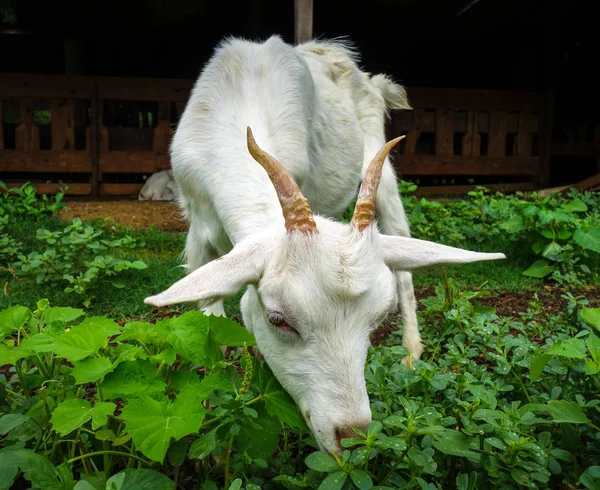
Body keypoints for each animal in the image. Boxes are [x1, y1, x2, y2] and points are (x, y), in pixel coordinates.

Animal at [145, 35, 506, 456]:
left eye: (378, 319)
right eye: (278, 320)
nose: (351, 437)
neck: (242, 107)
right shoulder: (198, 233)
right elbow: (211, 329)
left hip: (381, 171)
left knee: (403, 262)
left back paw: (411, 351)